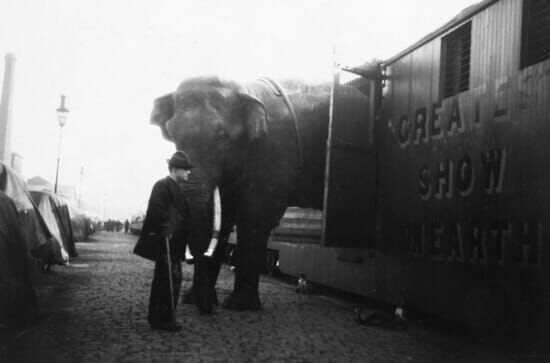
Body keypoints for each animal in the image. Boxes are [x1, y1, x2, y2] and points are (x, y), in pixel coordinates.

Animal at [151, 75, 332, 312]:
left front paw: (239, 305)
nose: (204, 308)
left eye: (221, 135)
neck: (246, 88)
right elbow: (224, 217)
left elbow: (254, 216)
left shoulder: (275, 151)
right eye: (172, 134)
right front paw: (196, 299)